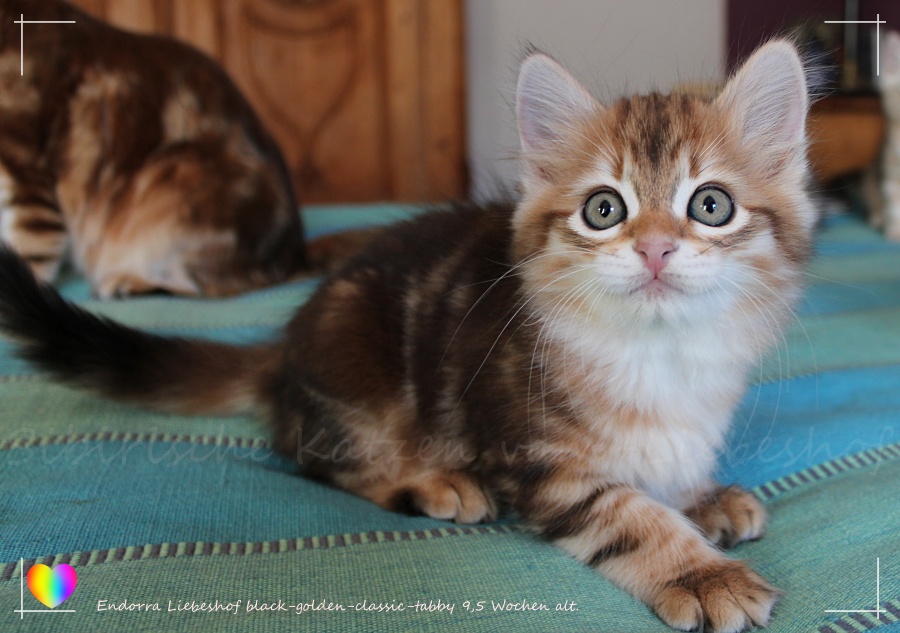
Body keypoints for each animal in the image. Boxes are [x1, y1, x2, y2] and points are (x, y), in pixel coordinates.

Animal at [0, 0, 312, 296]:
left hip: (176, 187)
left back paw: (128, 281)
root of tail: (296, 256)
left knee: (208, 286)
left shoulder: (27, 182)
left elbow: (27, 260)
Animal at [0, 39, 816, 632]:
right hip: (359, 374)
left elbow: (669, 469)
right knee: (321, 459)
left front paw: (703, 495)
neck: (657, 354)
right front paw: (701, 571)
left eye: (710, 205)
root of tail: (284, 346)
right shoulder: (534, 455)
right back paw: (433, 482)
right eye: (604, 210)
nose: (653, 249)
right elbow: (629, 515)